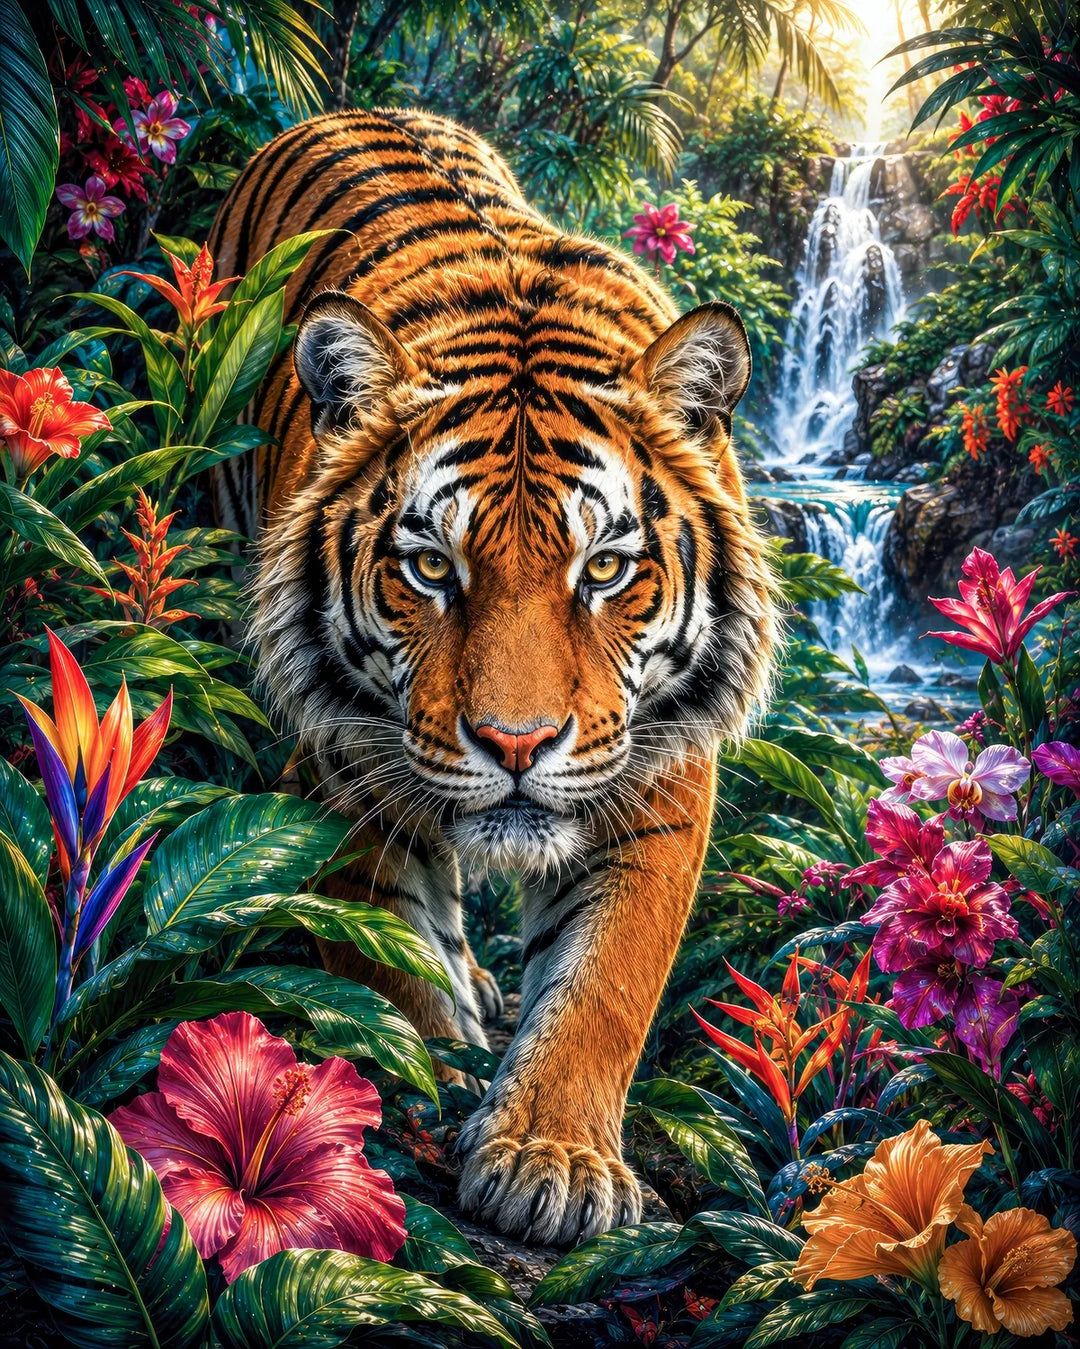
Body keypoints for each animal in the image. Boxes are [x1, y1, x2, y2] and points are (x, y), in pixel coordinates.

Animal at [210, 107, 777, 1246]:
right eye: (433, 566)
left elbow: (607, 979)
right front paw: (423, 1080)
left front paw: (550, 1158)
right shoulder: (348, 757)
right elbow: (387, 942)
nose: (517, 744)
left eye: (604, 569)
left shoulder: (660, 769)